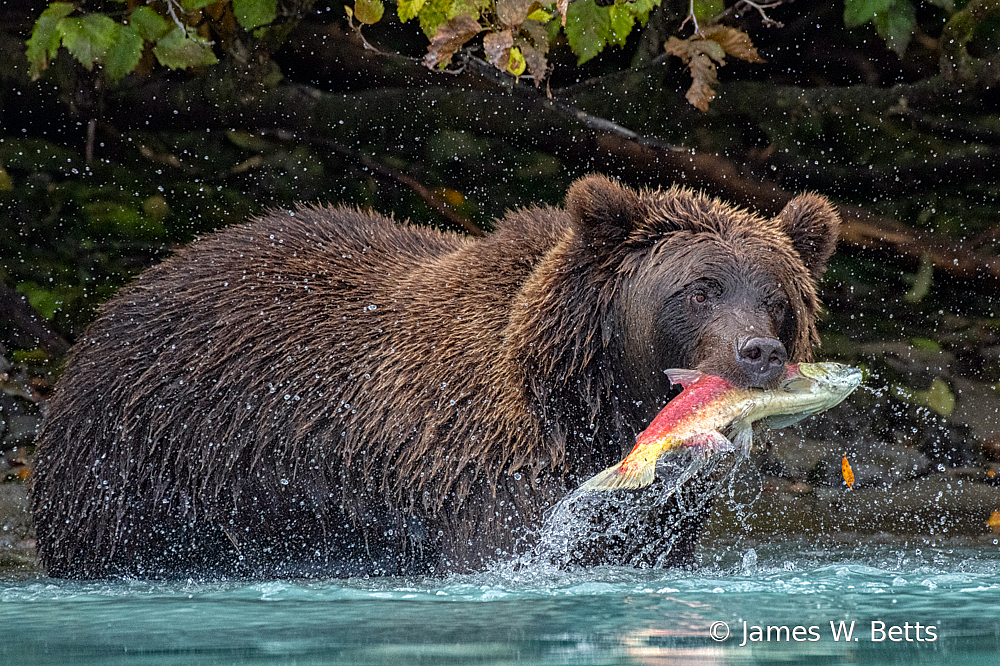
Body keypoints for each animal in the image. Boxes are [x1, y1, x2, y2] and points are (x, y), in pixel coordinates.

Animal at [31, 176, 840, 576]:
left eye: (776, 295)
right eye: (700, 289)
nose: (758, 351)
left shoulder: (654, 513)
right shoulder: (483, 469)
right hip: (141, 465)